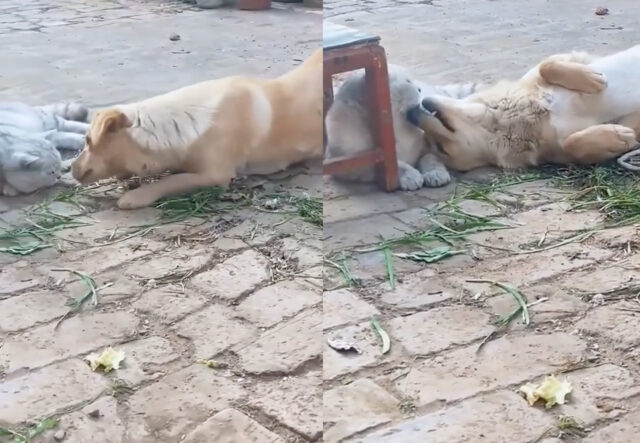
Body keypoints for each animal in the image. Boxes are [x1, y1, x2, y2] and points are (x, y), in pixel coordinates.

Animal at [324, 66, 480, 191]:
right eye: (407, 82)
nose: (419, 89)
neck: (397, 130)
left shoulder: (428, 142)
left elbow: (430, 157)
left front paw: (435, 174)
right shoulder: (350, 162)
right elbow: (393, 164)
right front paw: (410, 176)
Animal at [408, 43, 640, 172]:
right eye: (441, 148)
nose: (410, 113)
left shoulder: (572, 58)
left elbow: (547, 65)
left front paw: (592, 79)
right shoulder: (558, 149)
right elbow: (573, 144)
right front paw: (619, 137)